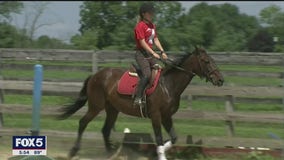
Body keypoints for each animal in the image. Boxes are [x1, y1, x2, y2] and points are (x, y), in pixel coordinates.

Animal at [57, 45, 224, 159]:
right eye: (206, 61)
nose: (220, 80)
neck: (168, 85)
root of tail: (95, 75)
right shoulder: (156, 115)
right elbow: (159, 139)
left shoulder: (166, 116)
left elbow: (173, 138)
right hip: (95, 106)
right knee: (83, 123)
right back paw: (73, 151)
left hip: (112, 109)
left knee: (105, 130)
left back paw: (111, 154)